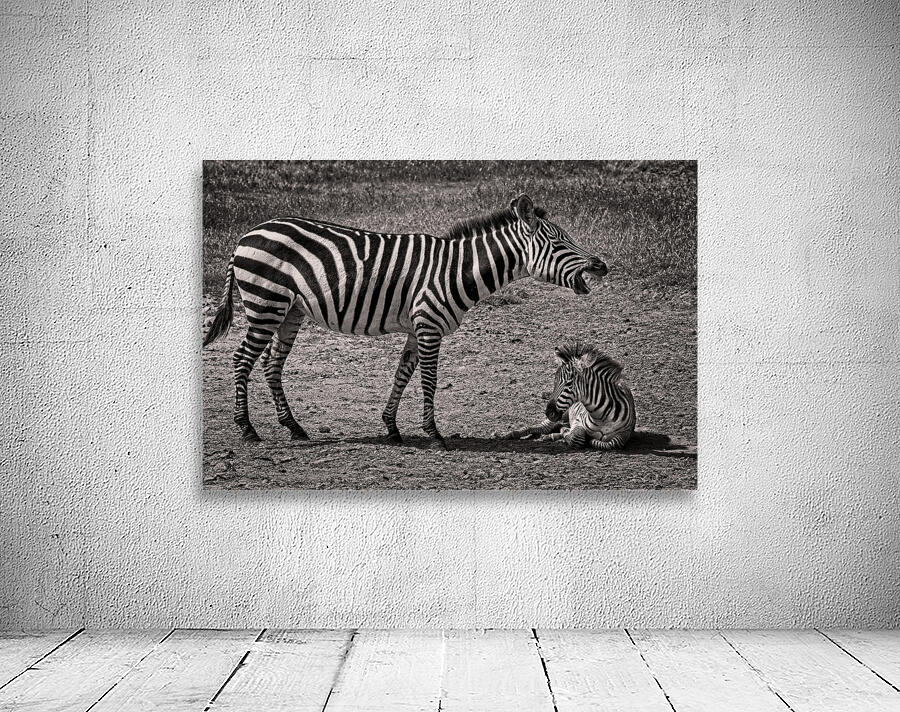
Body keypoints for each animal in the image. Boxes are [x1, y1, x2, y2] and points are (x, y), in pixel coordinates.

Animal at [202, 194, 608, 448]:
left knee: (271, 365)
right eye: (558, 244)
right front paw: (434, 435)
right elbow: (429, 380)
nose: (601, 266)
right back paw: (248, 430)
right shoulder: (429, 325)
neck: (456, 270)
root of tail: (247, 234)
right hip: (265, 303)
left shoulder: (418, 327)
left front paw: (392, 428)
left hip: (289, 311)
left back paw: (294, 427)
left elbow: (403, 373)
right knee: (242, 359)